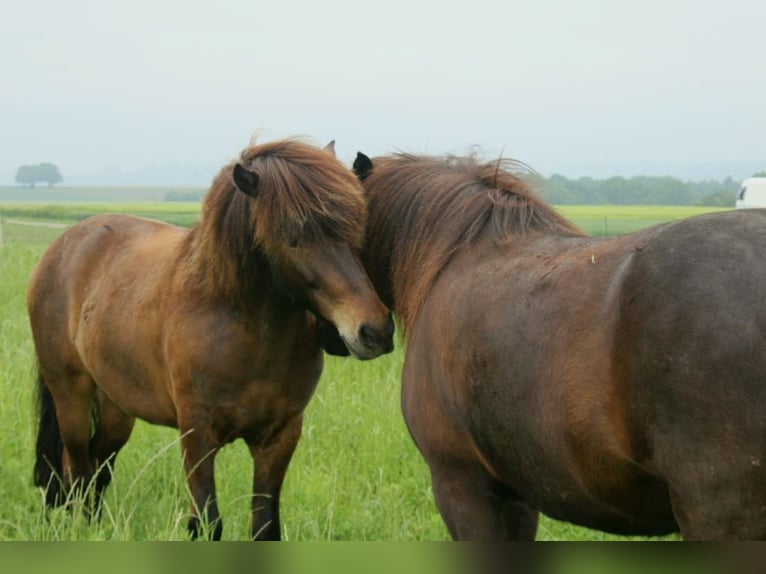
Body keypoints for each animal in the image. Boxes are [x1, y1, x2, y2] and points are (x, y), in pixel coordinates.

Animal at [27, 137, 392, 544]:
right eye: (293, 239)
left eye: (357, 229)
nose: (373, 330)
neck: (244, 334)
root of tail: (65, 245)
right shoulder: (198, 436)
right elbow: (206, 523)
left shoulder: (279, 438)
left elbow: (265, 526)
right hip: (71, 393)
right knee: (76, 470)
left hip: (116, 407)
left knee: (97, 469)